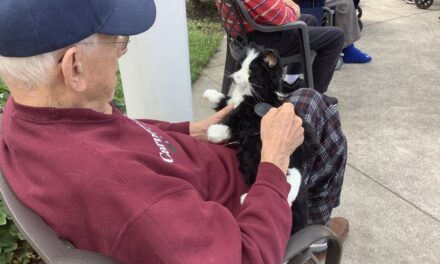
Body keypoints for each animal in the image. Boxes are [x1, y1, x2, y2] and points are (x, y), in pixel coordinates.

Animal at [201, 44, 318, 233]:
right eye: (240, 66)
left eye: (251, 73)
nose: (235, 77)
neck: (249, 94)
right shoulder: (232, 104)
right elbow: (225, 101)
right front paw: (209, 94)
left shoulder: (250, 116)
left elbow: (236, 122)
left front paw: (215, 131)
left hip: (292, 160)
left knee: (290, 183)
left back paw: (245, 198)